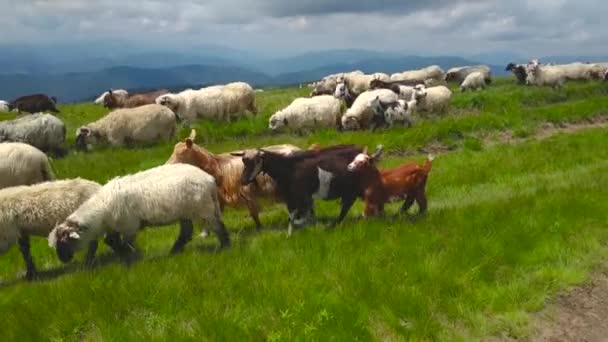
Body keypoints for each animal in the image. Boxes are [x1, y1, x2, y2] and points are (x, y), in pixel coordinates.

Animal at [48, 163, 229, 262]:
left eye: (65, 241)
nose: (63, 260)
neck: (100, 212)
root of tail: (209, 179)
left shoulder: (129, 226)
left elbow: (125, 243)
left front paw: (130, 257)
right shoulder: (116, 226)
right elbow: (111, 241)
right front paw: (123, 255)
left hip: (203, 209)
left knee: (218, 226)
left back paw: (225, 247)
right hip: (185, 212)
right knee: (186, 233)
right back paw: (174, 251)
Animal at [166, 130, 302, 228]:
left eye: (181, 153)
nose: (167, 165)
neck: (217, 167)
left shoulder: (247, 193)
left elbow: (254, 214)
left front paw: (260, 229)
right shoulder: (219, 198)